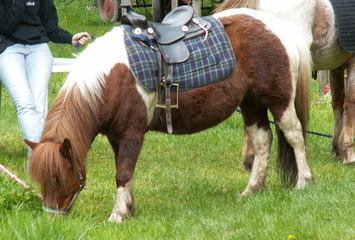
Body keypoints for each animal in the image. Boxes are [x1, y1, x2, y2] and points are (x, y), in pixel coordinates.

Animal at [27, 9, 312, 223]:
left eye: (62, 178)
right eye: (40, 180)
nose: (52, 218)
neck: (109, 80)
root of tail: (278, 27)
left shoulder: (132, 134)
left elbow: (123, 173)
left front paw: (117, 215)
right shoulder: (116, 136)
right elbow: (124, 170)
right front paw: (129, 209)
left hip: (279, 101)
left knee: (295, 135)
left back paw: (303, 182)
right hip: (251, 103)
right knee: (262, 141)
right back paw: (252, 190)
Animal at [213, 0, 355, 169]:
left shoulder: (337, 67)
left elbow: (338, 104)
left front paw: (339, 150)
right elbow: (350, 104)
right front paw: (349, 154)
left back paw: (250, 159)